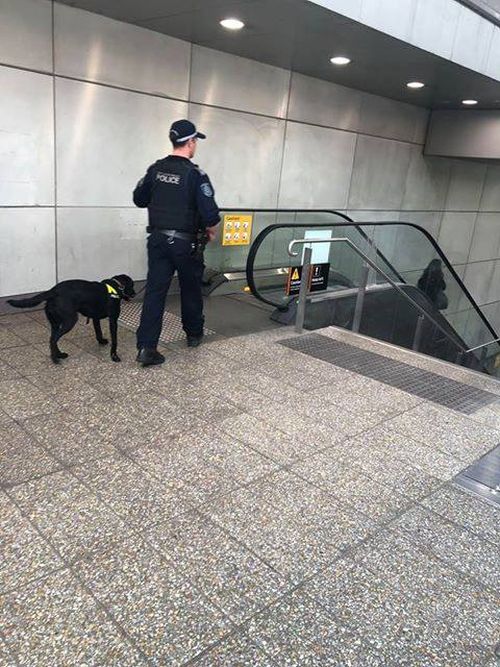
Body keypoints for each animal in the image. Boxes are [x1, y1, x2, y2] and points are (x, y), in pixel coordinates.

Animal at [7, 274, 135, 362]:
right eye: (132, 285)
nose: (134, 293)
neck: (116, 286)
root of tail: (53, 291)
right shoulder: (113, 320)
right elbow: (115, 340)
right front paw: (114, 356)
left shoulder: (95, 318)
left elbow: (98, 331)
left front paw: (101, 341)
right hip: (70, 321)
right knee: (53, 339)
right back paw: (55, 359)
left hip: (55, 323)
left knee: (52, 338)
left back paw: (59, 355)